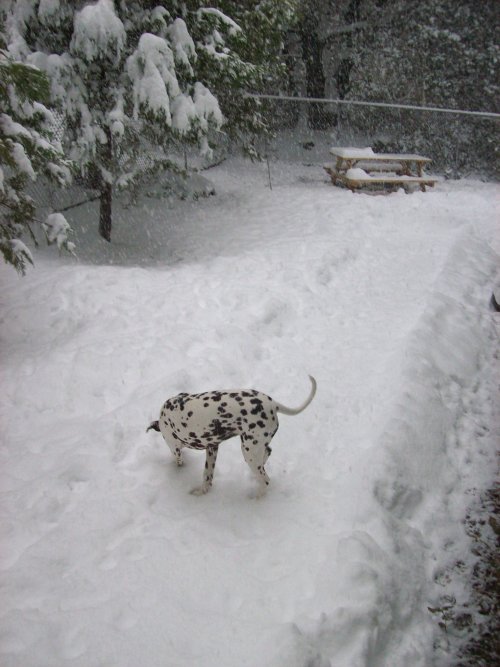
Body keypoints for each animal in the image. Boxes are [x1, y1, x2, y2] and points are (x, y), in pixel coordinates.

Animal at [146, 376, 316, 496]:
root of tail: (274, 405)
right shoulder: (212, 448)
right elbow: (207, 477)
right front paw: (202, 491)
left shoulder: (174, 446)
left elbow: (178, 458)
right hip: (256, 447)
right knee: (267, 453)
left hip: (249, 451)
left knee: (265, 481)